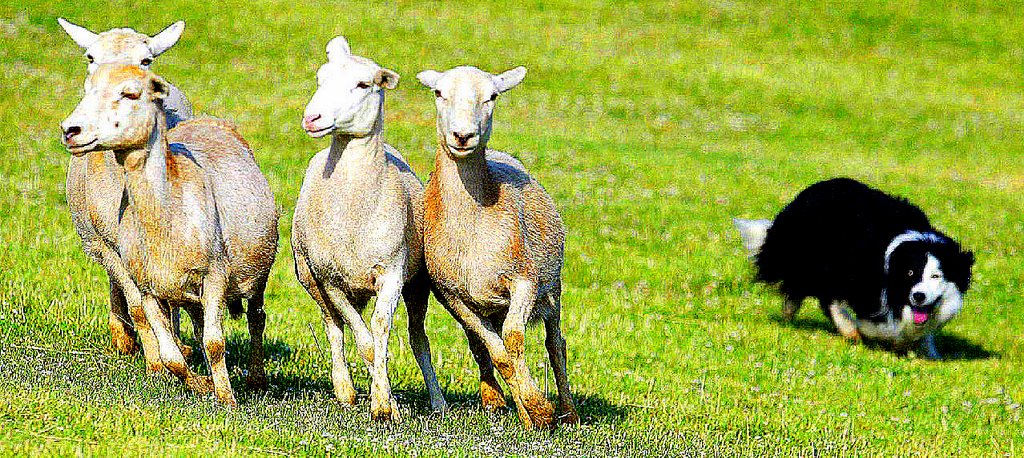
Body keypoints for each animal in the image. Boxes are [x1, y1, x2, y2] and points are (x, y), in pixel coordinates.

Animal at [61, 64, 278, 405]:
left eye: (130, 93)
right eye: (88, 89)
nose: (70, 130)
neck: (164, 213)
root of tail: (210, 121)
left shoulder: (215, 275)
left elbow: (216, 344)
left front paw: (226, 398)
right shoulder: (148, 287)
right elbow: (171, 357)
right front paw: (203, 384)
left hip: (257, 273)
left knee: (256, 318)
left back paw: (256, 378)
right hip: (188, 294)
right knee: (200, 326)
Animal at [292, 37, 444, 422]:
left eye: (364, 85)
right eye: (320, 78)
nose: (312, 118)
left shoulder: (392, 273)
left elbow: (380, 331)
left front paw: (384, 404)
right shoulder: (330, 279)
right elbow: (365, 343)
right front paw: (383, 403)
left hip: (417, 283)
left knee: (418, 337)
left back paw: (438, 401)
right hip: (311, 280)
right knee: (333, 327)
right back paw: (345, 390)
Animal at [413, 64, 577, 430]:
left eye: (493, 96)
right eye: (439, 93)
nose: (462, 136)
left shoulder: (525, 280)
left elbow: (515, 339)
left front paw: (541, 408)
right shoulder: (453, 296)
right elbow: (499, 354)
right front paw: (531, 412)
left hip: (553, 288)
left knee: (555, 343)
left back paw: (568, 412)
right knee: (483, 347)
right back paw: (514, 409)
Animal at [733, 178, 970, 358]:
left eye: (935, 276)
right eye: (910, 274)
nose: (918, 296)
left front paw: (928, 352)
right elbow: (881, 325)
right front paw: (884, 338)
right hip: (815, 260)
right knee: (818, 296)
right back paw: (843, 329)